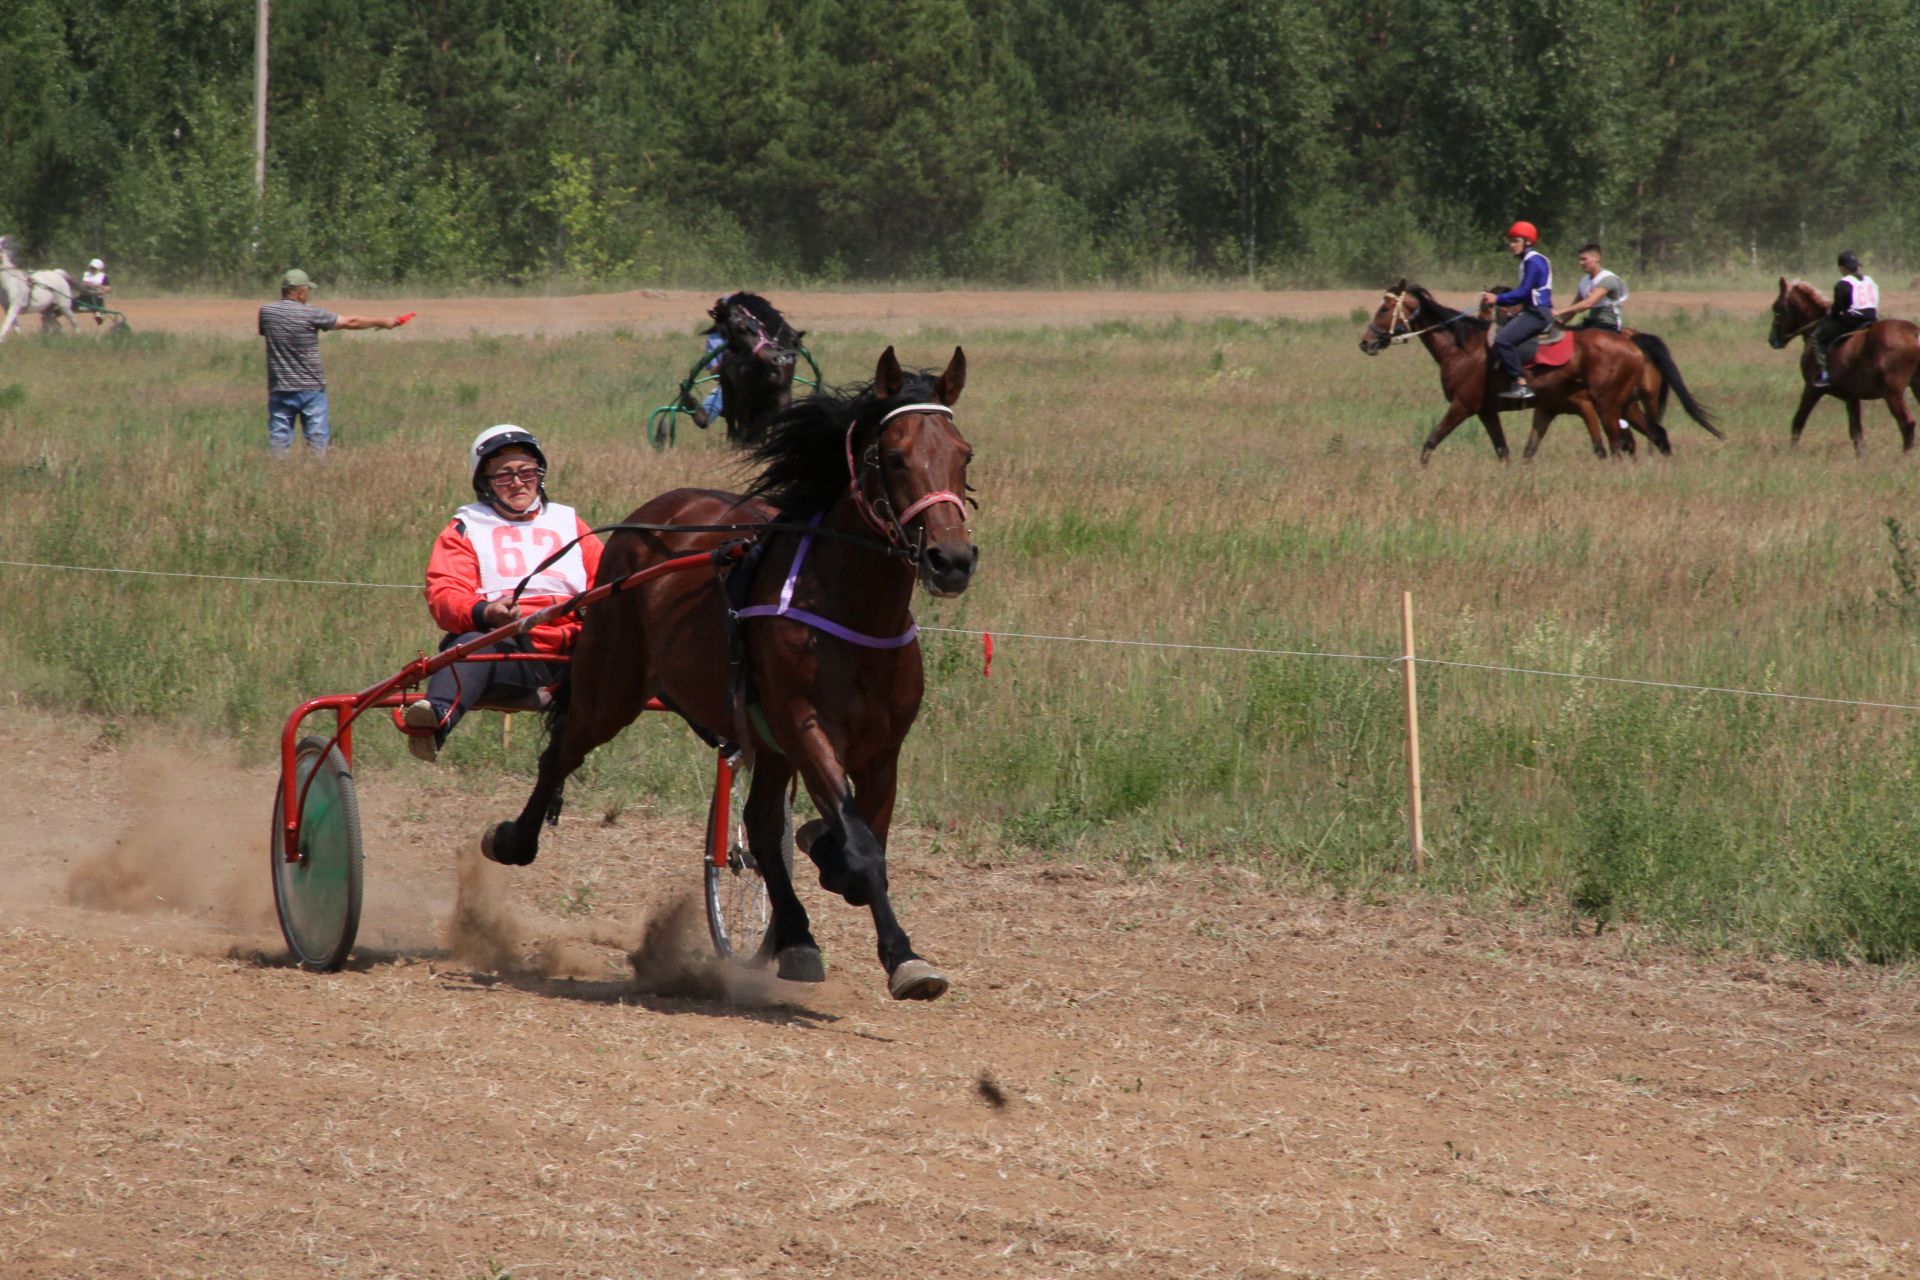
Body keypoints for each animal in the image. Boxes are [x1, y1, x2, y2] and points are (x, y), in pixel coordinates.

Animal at [487, 347, 983, 997]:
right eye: (894, 457)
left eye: (963, 453)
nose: (951, 560)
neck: (851, 611)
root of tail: (650, 518)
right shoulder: (806, 727)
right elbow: (860, 849)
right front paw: (903, 957)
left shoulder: (881, 749)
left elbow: (859, 839)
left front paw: (831, 870)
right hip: (612, 687)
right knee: (563, 752)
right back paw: (514, 841)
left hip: (762, 739)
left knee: (760, 822)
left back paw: (796, 936)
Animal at [698, 293, 802, 449]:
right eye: (729, 337)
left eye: (742, 327)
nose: (773, 358)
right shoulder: (745, 397)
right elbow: (744, 426)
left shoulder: (783, 394)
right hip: (729, 391)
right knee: (733, 421)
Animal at [1359, 280, 1720, 466]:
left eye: (1385, 308)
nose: (1366, 342)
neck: (1461, 348)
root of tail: (1630, 342)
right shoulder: (1489, 411)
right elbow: (1506, 451)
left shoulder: (1463, 405)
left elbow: (1431, 439)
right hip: (1626, 404)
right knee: (1655, 435)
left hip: (1608, 404)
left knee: (1621, 443)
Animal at [1766, 278, 1920, 454]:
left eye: (1777, 308)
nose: (1772, 339)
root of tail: (1914, 333)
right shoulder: (1851, 396)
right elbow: (1856, 432)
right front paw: (1861, 458)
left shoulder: (1812, 388)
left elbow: (1798, 421)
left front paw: (1792, 452)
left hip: (1893, 394)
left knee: (1906, 424)